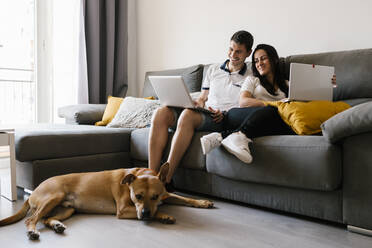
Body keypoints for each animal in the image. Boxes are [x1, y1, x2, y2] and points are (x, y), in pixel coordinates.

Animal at [0, 163, 214, 240]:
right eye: (138, 196)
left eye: (154, 196)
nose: (145, 214)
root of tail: (34, 189)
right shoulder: (124, 210)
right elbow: (155, 212)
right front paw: (164, 215)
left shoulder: (165, 196)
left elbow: (184, 198)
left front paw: (202, 202)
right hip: (54, 197)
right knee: (32, 219)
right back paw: (32, 231)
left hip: (67, 209)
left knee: (45, 219)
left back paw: (57, 225)